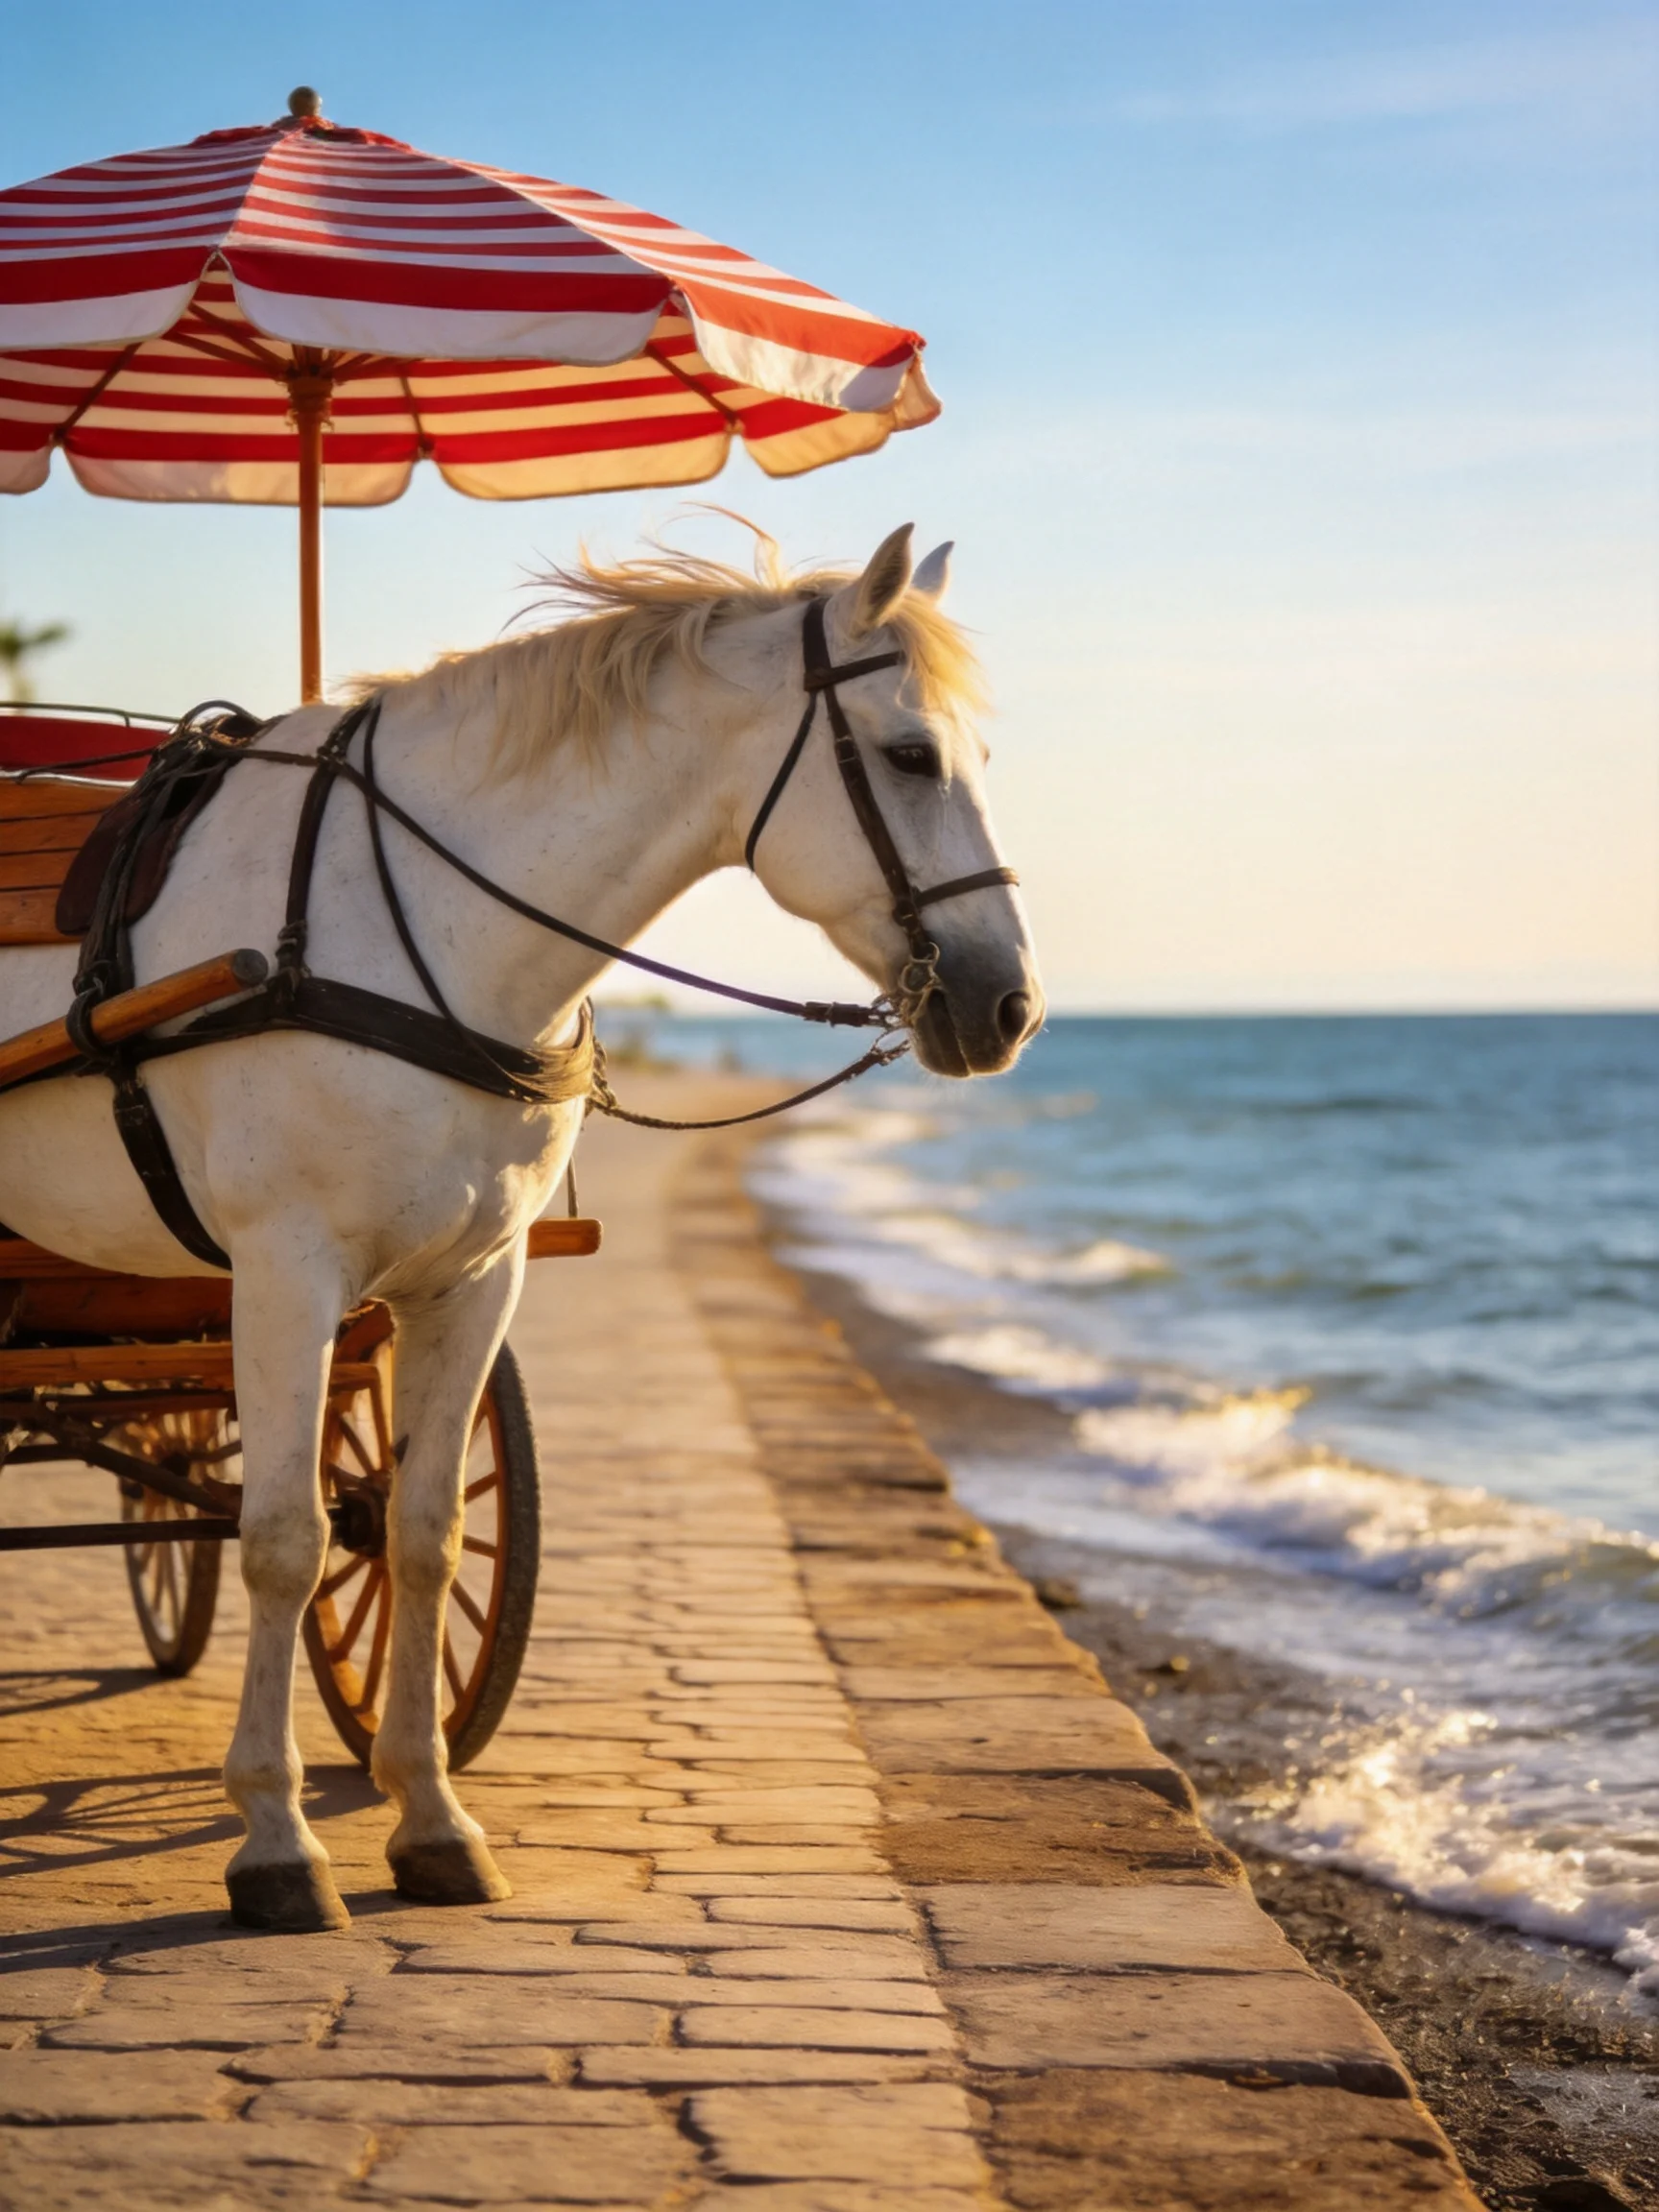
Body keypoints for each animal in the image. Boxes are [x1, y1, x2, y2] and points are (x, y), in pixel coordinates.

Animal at [0, 522, 1043, 1930]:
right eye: (911, 756)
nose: (1009, 1005)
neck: (394, 924)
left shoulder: (470, 1278)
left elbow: (420, 1535)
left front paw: (429, 1815)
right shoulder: (283, 1270)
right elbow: (286, 1539)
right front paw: (275, 1838)